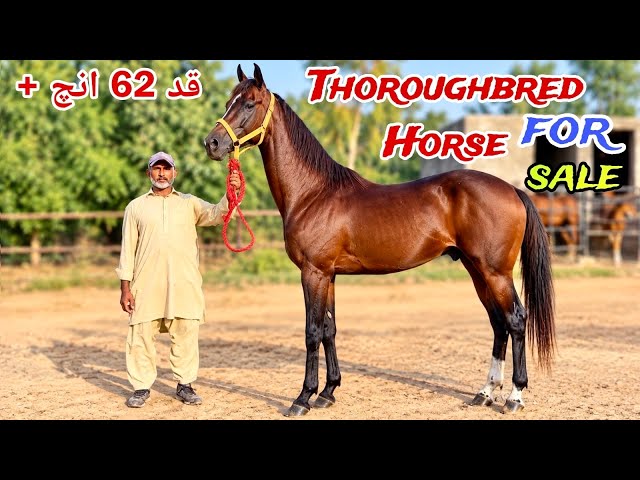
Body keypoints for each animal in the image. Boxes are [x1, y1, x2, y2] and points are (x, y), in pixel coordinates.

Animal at [204, 64, 556, 417]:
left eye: (249, 104)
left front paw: (303, 398)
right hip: (477, 269)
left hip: (495, 272)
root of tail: (512, 189)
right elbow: (330, 329)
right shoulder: (328, 275)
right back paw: (485, 392)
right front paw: (328, 392)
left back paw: (514, 396)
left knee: (515, 320)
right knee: (498, 323)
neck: (312, 193)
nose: (212, 142)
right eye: (228, 102)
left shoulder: (313, 273)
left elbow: (312, 332)